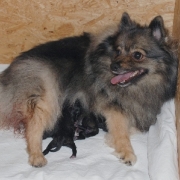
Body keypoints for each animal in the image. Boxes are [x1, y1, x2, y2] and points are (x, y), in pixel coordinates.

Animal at [0, 12, 177, 167]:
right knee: (33, 127)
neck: (139, 86)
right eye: (118, 51)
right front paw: (126, 152)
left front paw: (111, 139)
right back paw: (37, 156)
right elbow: (122, 131)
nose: (114, 66)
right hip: (48, 97)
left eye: (137, 55)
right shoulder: (113, 108)